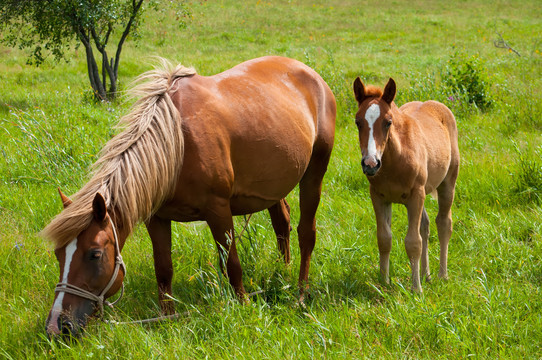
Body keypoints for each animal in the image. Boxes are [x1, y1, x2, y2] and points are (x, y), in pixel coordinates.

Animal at [43, 54, 336, 336]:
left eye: (94, 254)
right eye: (58, 253)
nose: (57, 326)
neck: (177, 143)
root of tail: (311, 74)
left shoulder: (218, 211)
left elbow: (231, 264)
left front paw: (243, 305)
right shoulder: (156, 218)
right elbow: (163, 268)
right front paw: (167, 317)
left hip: (314, 173)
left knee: (306, 233)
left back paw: (300, 293)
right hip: (273, 188)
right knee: (281, 224)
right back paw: (282, 272)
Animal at [354, 76, 462, 292]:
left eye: (388, 122)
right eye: (358, 122)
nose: (370, 164)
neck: (394, 161)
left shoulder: (415, 196)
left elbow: (413, 242)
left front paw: (416, 289)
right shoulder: (379, 197)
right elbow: (384, 238)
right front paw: (384, 282)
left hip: (447, 183)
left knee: (444, 223)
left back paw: (442, 275)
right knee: (425, 225)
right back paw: (426, 275)